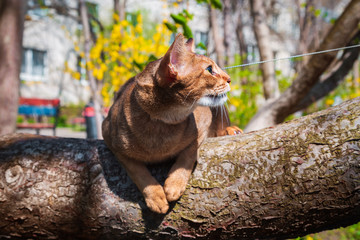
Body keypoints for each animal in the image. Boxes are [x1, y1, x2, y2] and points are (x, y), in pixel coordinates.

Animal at [102, 34, 242, 214]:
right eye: (210, 69)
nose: (229, 79)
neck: (161, 123)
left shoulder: (203, 122)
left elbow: (188, 153)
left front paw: (174, 185)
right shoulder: (109, 136)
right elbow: (137, 170)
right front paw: (156, 197)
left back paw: (231, 130)